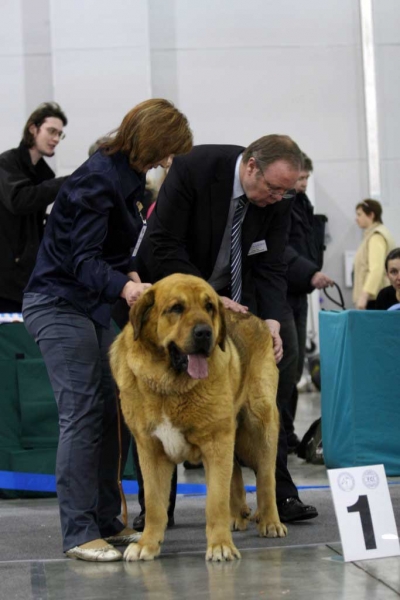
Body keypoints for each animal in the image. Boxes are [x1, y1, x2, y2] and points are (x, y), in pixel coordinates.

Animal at [108, 274, 286, 560]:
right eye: (176, 308)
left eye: (209, 307)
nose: (205, 333)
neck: (169, 386)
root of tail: (254, 318)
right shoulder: (151, 449)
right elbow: (155, 504)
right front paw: (147, 544)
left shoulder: (216, 441)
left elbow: (215, 501)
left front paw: (220, 546)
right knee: (237, 472)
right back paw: (237, 515)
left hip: (261, 423)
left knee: (266, 476)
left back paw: (270, 521)